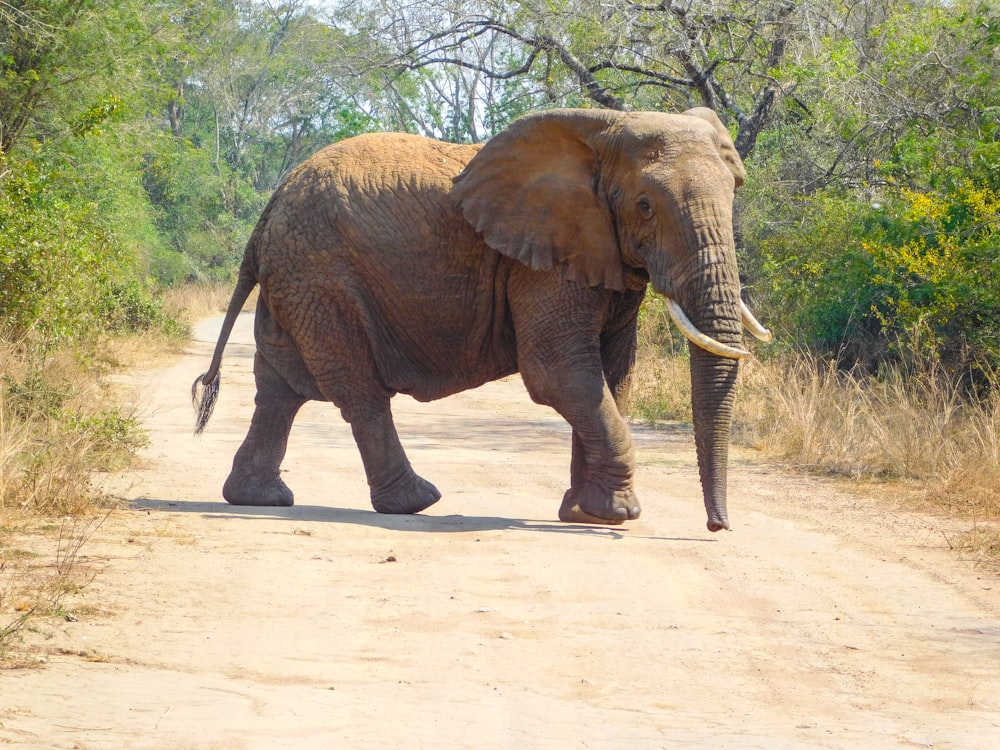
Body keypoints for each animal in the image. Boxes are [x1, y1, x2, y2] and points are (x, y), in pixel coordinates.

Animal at [195, 107, 772, 536]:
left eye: (735, 192)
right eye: (646, 205)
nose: (718, 527)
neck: (604, 129)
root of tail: (270, 207)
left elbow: (611, 374)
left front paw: (582, 512)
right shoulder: (541, 259)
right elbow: (558, 371)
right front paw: (617, 514)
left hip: (295, 277)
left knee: (278, 387)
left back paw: (258, 498)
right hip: (321, 277)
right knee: (356, 389)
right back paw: (416, 502)